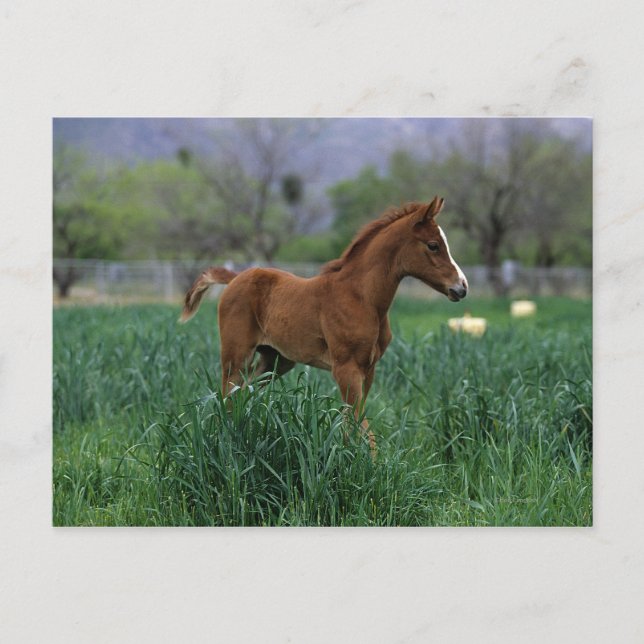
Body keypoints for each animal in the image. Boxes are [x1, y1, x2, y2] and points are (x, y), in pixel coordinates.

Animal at [180, 196, 467, 454]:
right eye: (433, 245)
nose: (462, 287)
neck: (362, 297)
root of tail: (235, 278)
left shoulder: (369, 369)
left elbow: (356, 422)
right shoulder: (345, 368)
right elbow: (357, 424)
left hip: (275, 360)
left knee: (244, 393)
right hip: (235, 355)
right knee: (227, 396)